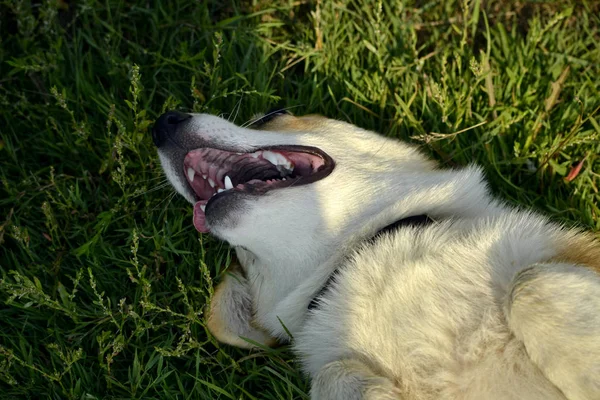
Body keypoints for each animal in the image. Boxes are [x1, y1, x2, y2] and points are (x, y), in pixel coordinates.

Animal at [152, 110, 600, 400]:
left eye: (270, 116)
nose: (160, 123)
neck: (358, 252)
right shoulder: (332, 362)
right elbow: (330, 376)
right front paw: (372, 392)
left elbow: (530, 284)